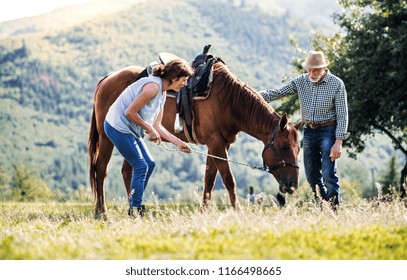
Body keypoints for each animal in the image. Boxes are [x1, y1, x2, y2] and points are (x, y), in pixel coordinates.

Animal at [87, 60, 302, 215]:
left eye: (298, 148)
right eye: (284, 146)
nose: (292, 186)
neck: (228, 100)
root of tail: (107, 79)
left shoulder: (219, 145)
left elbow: (209, 178)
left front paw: (203, 211)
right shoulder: (216, 144)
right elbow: (228, 179)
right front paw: (237, 210)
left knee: (127, 170)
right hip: (107, 138)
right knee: (101, 170)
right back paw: (102, 213)